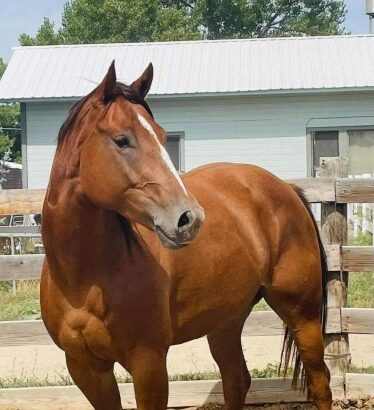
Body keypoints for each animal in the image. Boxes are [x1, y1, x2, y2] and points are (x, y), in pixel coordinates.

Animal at [42, 61, 332, 410]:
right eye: (122, 140)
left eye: (163, 136)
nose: (189, 219)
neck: (85, 279)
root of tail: (285, 188)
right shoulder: (86, 368)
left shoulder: (149, 363)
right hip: (226, 320)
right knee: (237, 379)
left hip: (303, 315)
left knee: (320, 383)